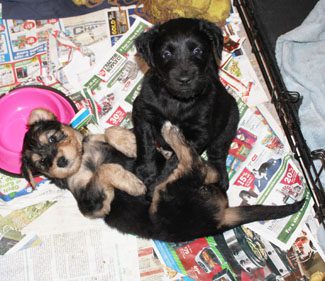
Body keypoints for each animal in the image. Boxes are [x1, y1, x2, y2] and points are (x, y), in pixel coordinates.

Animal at [21, 107, 302, 241]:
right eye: (43, 162)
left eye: (54, 137)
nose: (61, 160)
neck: (83, 159)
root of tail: (219, 219)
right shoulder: (91, 203)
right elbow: (103, 169)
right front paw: (132, 183)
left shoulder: (95, 140)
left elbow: (109, 131)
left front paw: (128, 143)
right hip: (165, 197)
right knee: (194, 166)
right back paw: (172, 136)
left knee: (204, 168)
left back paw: (172, 149)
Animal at [132, 16, 238, 189]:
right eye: (166, 53)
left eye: (197, 51)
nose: (184, 79)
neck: (177, 101)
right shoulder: (141, 112)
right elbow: (146, 144)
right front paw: (147, 172)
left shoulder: (200, 133)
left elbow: (179, 157)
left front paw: (161, 181)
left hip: (229, 123)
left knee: (218, 152)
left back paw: (220, 177)